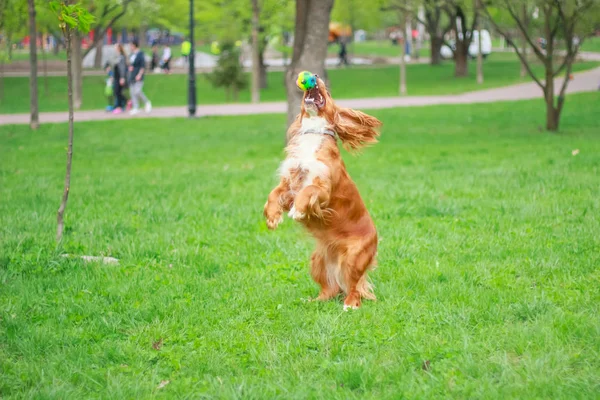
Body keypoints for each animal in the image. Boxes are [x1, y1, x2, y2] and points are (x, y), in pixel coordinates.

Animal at [264, 76, 382, 310]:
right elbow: (274, 194)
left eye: (327, 91)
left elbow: (308, 190)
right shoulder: (289, 184)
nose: (315, 76)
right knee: (329, 289)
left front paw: (298, 211)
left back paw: (349, 305)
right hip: (317, 260)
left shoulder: (323, 188)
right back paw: (313, 300)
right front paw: (272, 217)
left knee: (354, 288)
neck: (313, 134)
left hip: (352, 260)